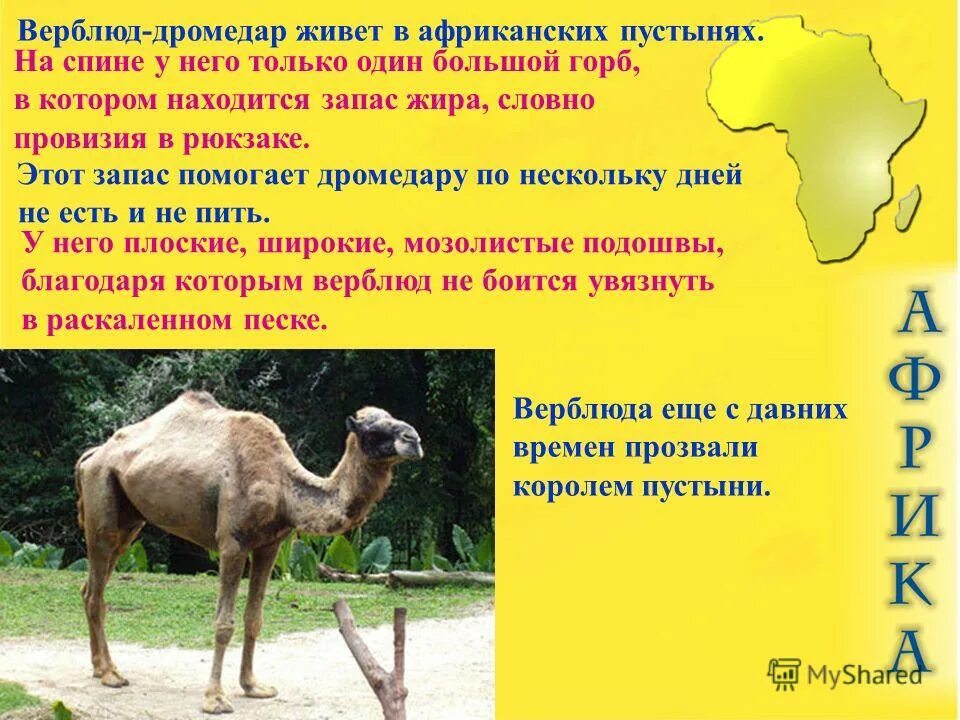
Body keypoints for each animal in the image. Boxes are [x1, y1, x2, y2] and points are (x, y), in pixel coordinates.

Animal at [74, 391, 423, 714]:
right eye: (373, 429)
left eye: (393, 417)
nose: (414, 439)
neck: (283, 487)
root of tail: (91, 456)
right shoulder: (232, 543)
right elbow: (224, 623)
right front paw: (215, 699)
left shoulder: (270, 546)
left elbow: (254, 617)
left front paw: (253, 686)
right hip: (102, 500)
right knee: (96, 588)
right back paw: (111, 675)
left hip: (131, 522)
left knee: (91, 588)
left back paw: (100, 668)